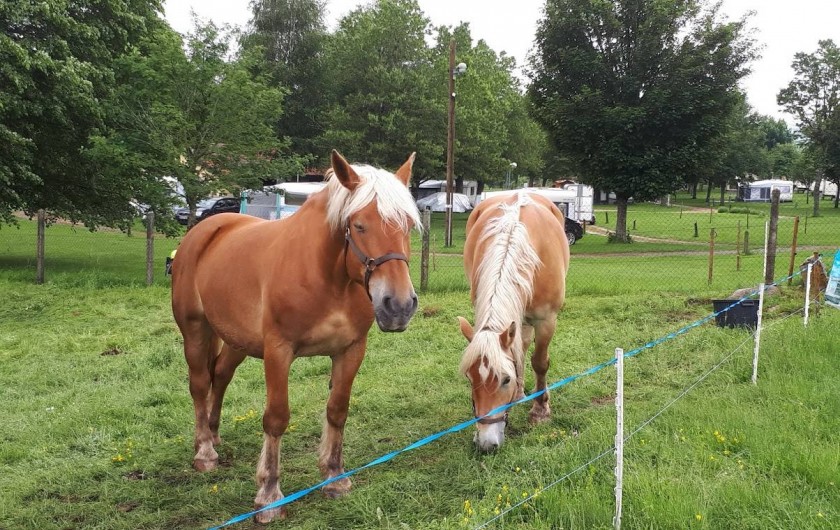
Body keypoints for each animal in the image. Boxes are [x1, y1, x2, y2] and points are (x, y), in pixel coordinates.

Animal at [171, 151, 421, 523]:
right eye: (359, 225)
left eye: (407, 225)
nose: (399, 305)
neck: (328, 278)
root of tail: (204, 230)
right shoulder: (279, 351)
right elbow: (276, 419)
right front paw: (269, 495)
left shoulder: (351, 350)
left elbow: (337, 410)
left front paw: (335, 477)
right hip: (196, 330)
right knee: (200, 384)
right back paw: (205, 452)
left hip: (235, 340)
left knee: (221, 375)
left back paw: (214, 437)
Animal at [457, 191, 569, 452]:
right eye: (470, 378)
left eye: (504, 380)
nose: (486, 443)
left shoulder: (547, 320)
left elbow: (540, 363)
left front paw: (540, 410)